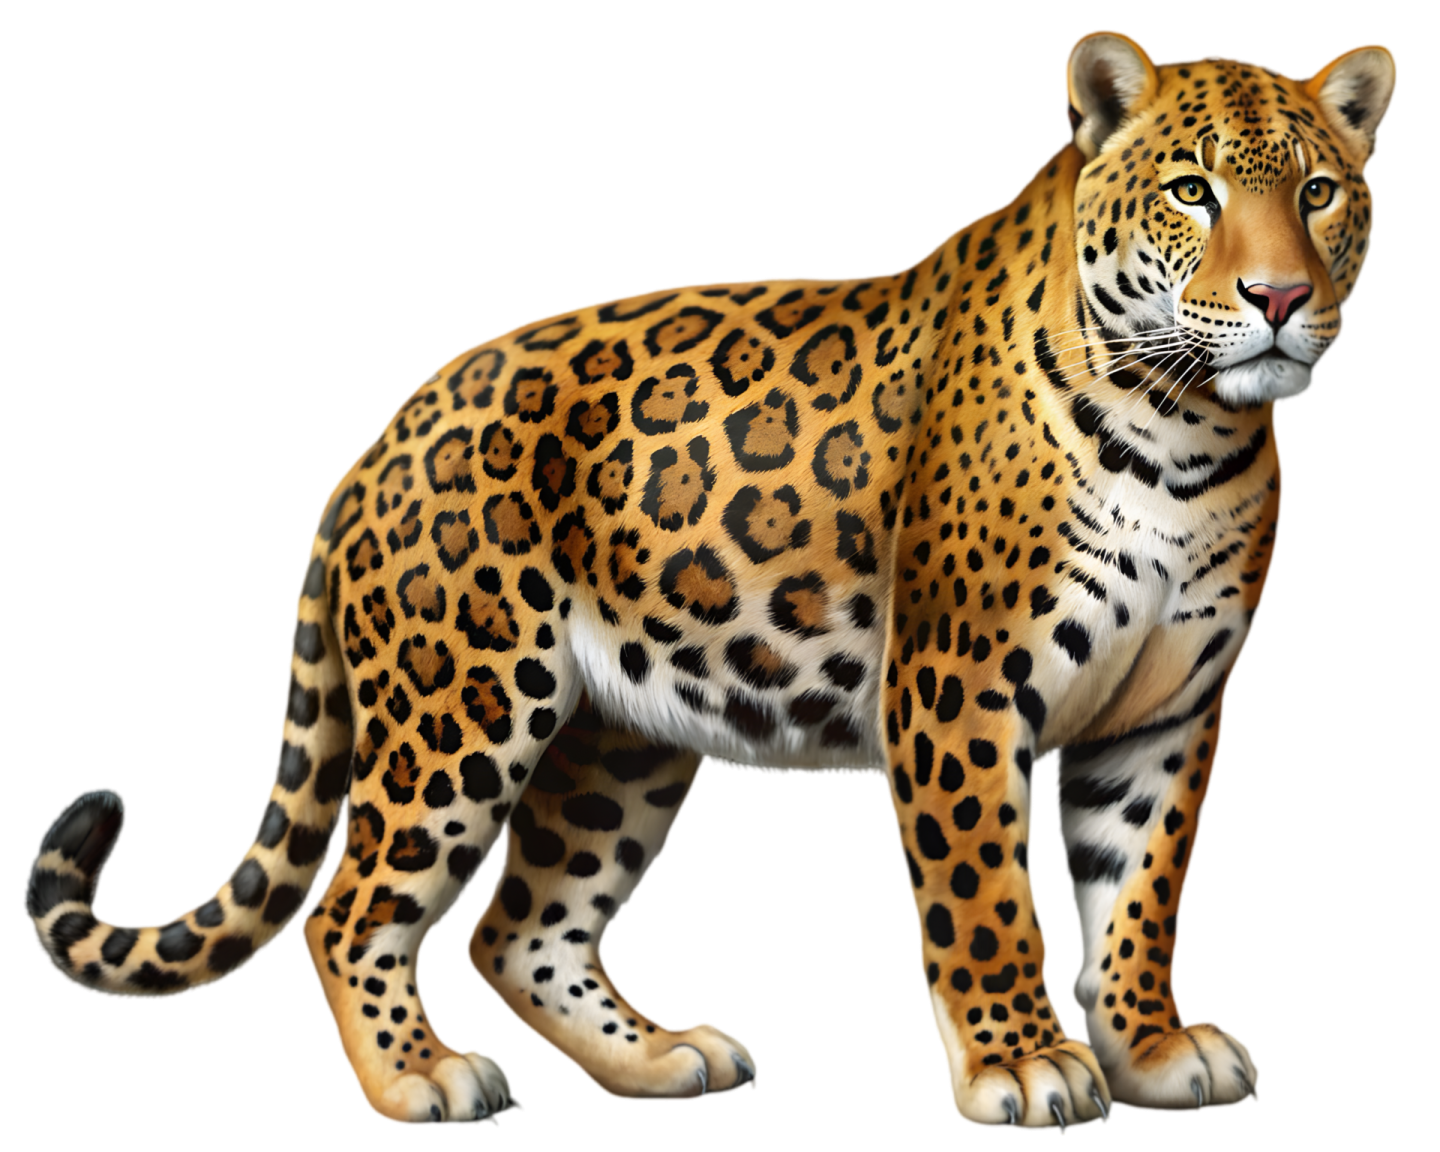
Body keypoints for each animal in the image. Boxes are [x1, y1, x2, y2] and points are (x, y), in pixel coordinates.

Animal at [24, 30, 1395, 1131]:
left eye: (1320, 191)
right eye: (1191, 191)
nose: (1282, 295)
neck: (1190, 434)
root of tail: (376, 442)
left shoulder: (1170, 708)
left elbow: (1138, 886)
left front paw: (1151, 1048)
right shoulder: (960, 686)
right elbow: (986, 892)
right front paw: (1025, 1066)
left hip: (619, 737)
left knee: (522, 928)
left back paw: (662, 1059)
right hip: (460, 704)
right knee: (353, 904)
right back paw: (422, 1079)